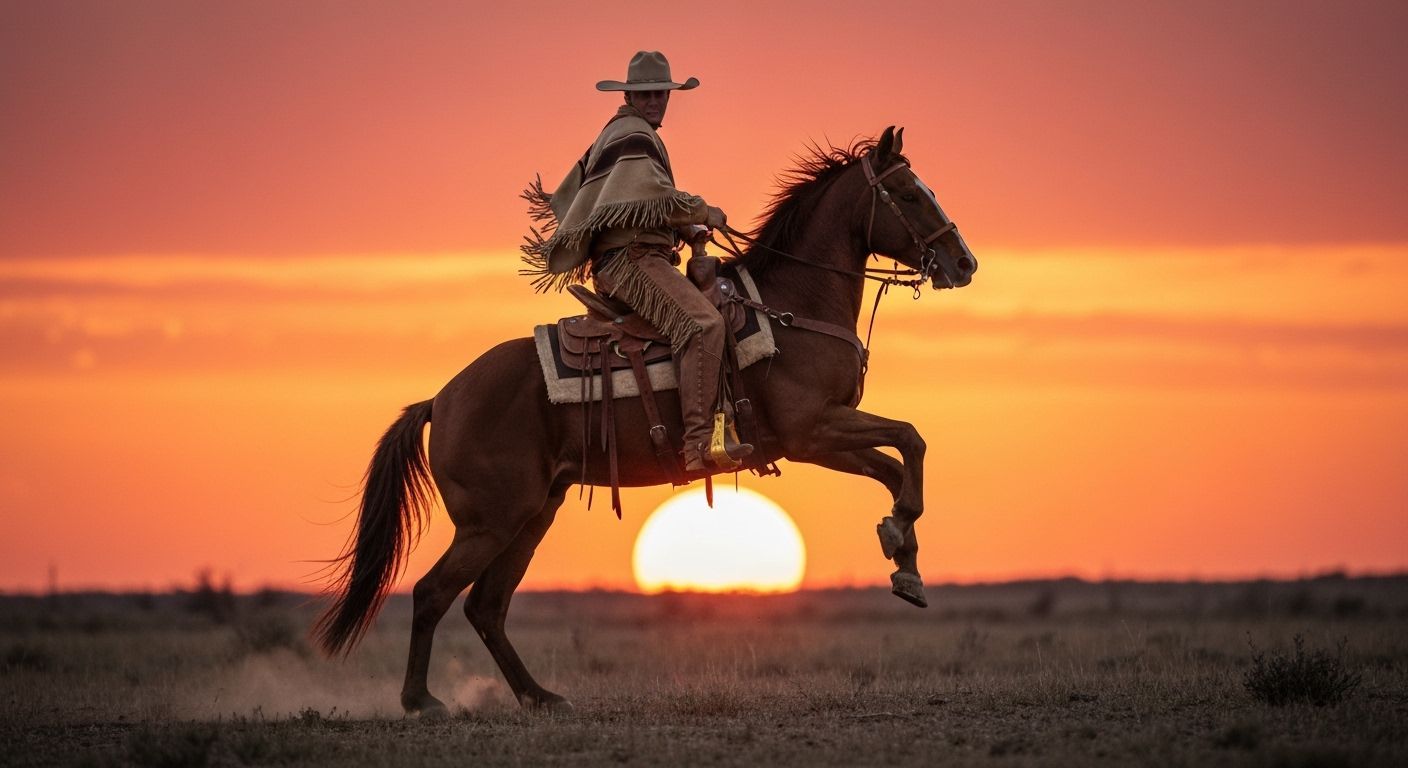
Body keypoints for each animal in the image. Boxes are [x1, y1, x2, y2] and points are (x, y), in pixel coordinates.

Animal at [314, 126, 978, 714]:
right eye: (910, 193)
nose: (963, 262)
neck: (792, 308)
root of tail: (442, 399)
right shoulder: (811, 430)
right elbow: (910, 441)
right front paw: (902, 539)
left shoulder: (824, 434)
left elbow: (896, 464)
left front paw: (903, 558)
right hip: (490, 522)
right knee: (434, 594)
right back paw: (421, 701)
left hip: (531, 514)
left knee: (486, 606)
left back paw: (540, 697)